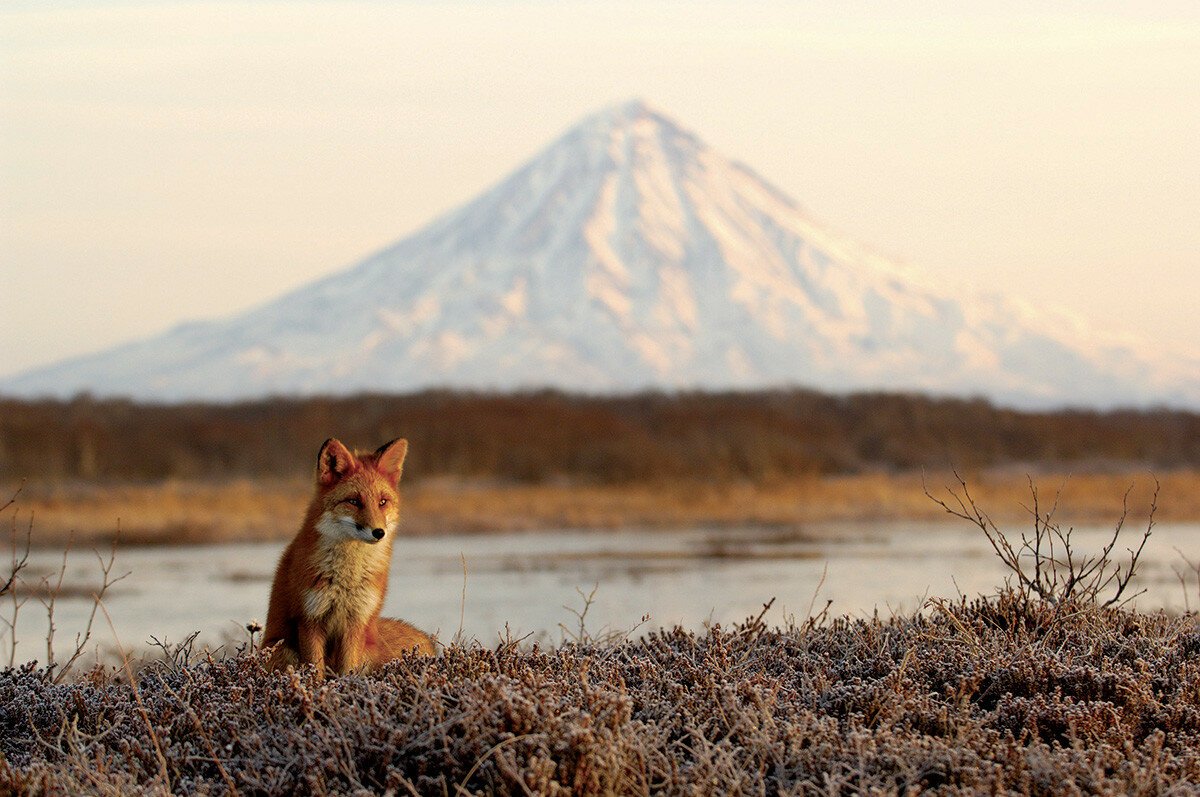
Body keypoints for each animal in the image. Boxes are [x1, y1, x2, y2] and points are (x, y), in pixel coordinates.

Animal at [262, 436, 436, 676]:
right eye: (354, 501)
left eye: (382, 502)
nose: (379, 532)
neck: (347, 578)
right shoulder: (309, 620)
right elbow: (316, 672)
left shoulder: (356, 621)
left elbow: (347, 672)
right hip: (284, 650)